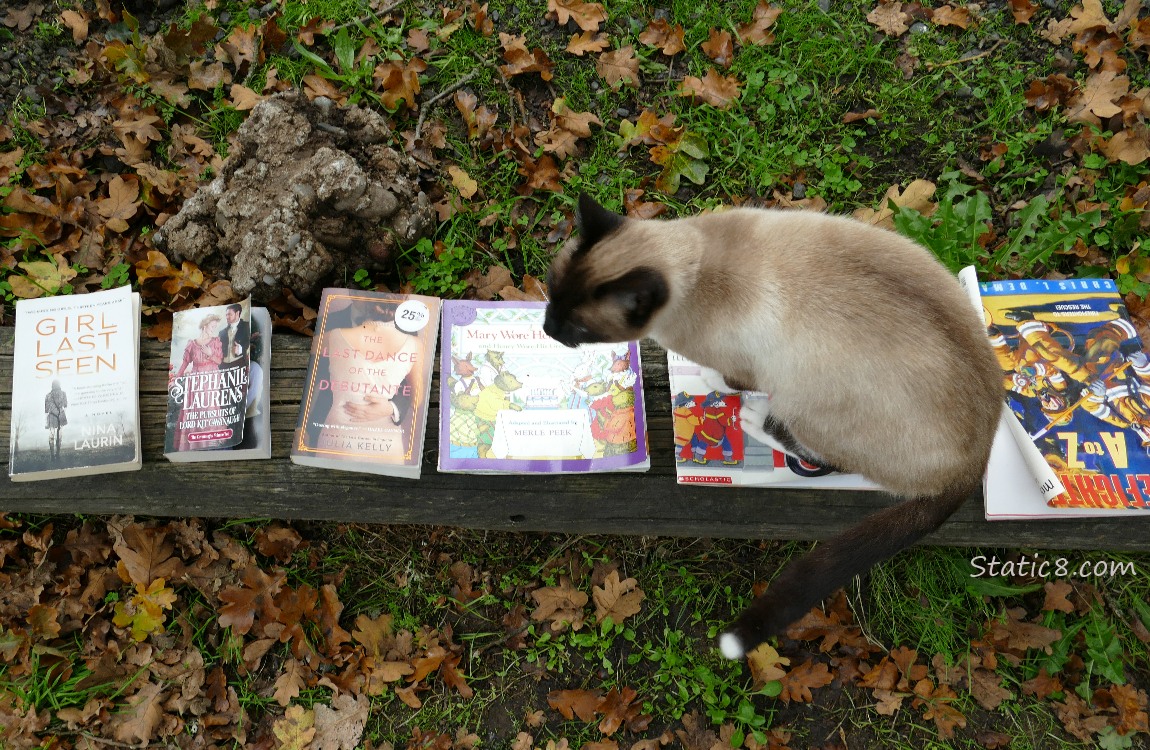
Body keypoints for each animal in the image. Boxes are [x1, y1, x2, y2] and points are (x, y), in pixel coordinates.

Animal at [542, 192, 1002, 657]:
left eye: (579, 326)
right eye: (551, 293)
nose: (547, 329)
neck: (697, 267)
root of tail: (979, 461)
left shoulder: (747, 366)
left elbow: (729, 381)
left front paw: (708, 382)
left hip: (807, 397)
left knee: (823, 457)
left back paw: (755, 419)